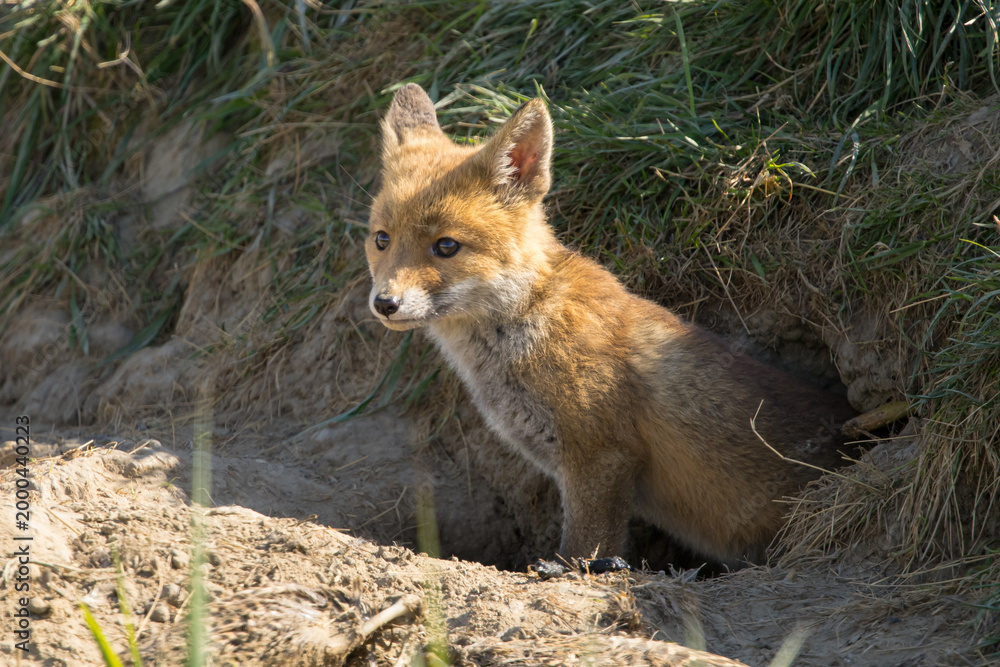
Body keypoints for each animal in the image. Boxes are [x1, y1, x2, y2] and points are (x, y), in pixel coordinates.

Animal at [365, 83, 856, 567]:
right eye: (382, 239)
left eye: (446, 246)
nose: (384, 303)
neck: (531, 322)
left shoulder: (601, 457)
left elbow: (585, 549)